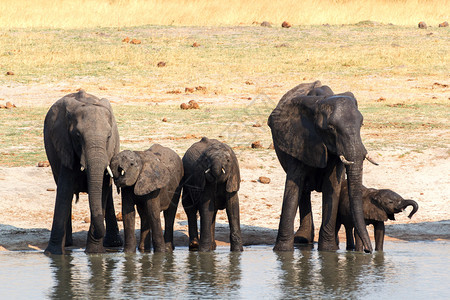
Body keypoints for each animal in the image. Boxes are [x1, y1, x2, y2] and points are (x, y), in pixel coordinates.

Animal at [43, 90, 122, 254]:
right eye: (78, 136)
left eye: (108, 137)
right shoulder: (65, 145)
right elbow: (64, 191)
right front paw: (53, 254)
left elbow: (103, 190)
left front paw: (94, 253)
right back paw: (67, 244)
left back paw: (114, 243)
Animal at [268, 81, 378, 252]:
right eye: (331, 129)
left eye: (361, 124)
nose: (368, 250)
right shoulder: (299, 140)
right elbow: (293, 187)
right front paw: (282, 252)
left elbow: (331, 186)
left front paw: (328, 251)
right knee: (303, 191)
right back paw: (301, 240)